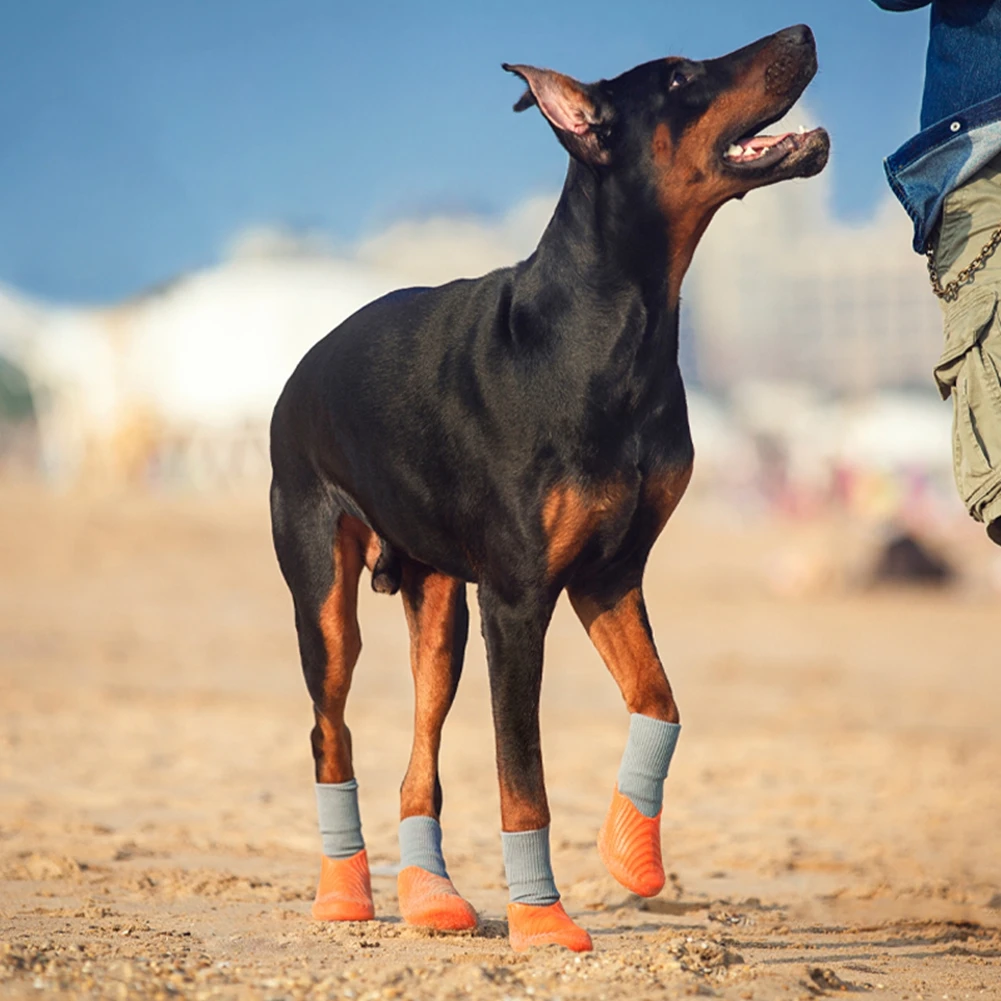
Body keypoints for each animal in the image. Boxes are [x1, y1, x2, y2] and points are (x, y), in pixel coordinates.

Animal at [268, 23, 828, 952]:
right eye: (680, 78)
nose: (804, 33)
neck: (618, 322)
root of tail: (303, 363)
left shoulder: (609, 573)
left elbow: (660, 701)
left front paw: (631, 853)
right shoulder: (517, 597)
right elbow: (520, 771)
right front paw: (541, 919)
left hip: (439, 603)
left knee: (421, 742)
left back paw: (429, 895)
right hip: (323, 581)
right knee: (329, 725)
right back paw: (345, 891)